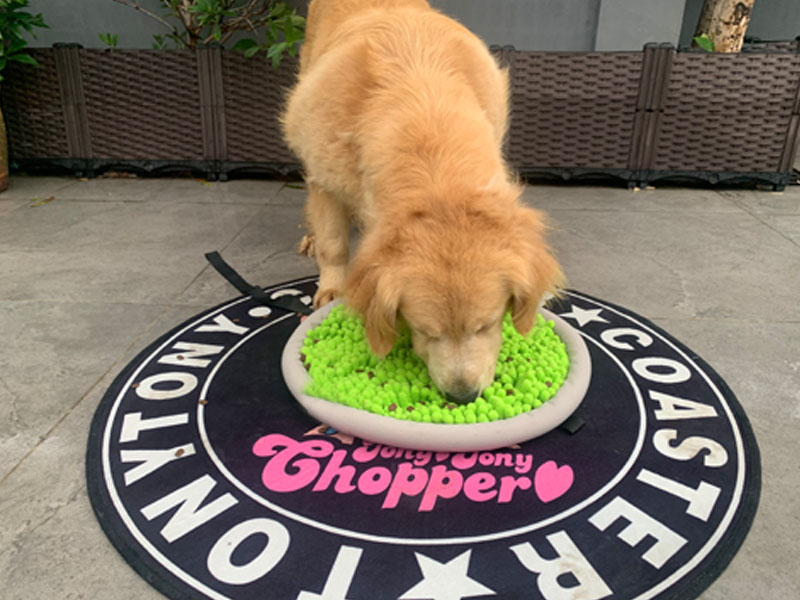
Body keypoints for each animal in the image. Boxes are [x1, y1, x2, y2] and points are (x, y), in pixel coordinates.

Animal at [282, 0, 564, 404]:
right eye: (426, 331)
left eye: (486, 325)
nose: (462, 397)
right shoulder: (326, 179)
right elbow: (334, 244)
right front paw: (332, 288)